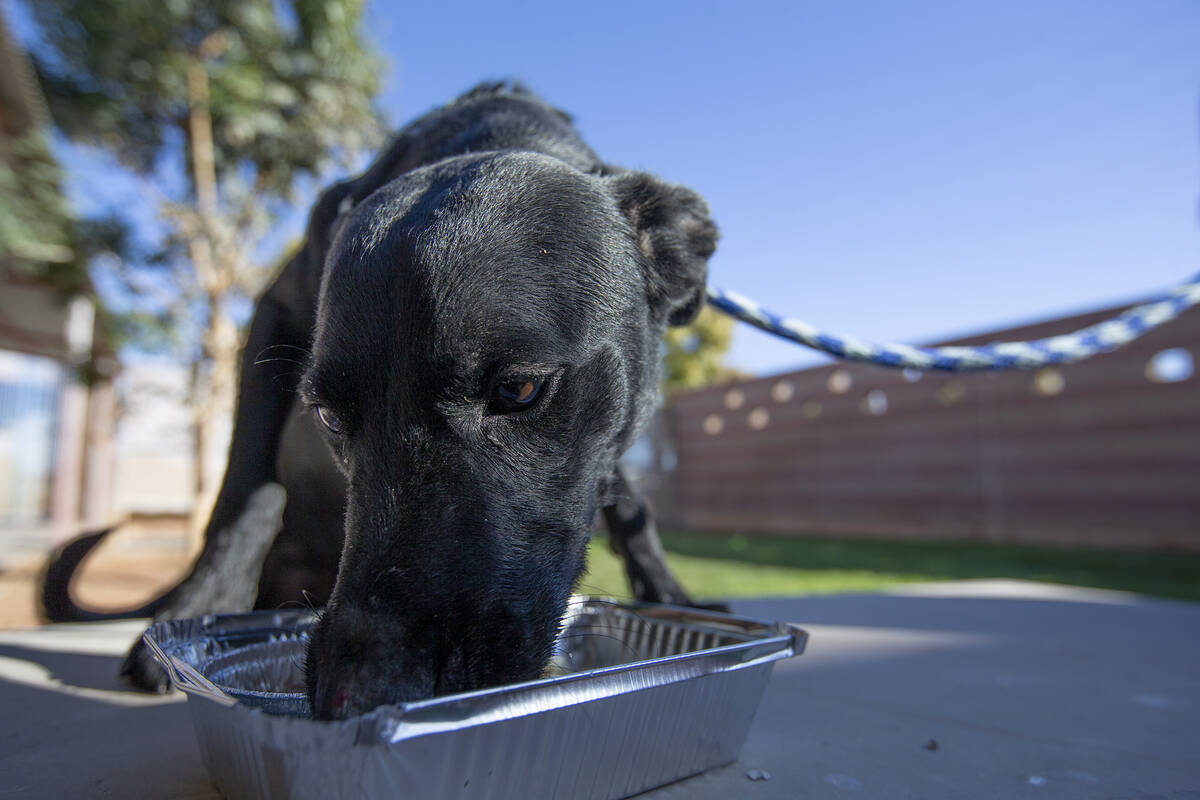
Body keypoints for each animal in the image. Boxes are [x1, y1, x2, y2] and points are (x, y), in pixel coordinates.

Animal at [42, 84, 715, 724]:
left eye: (519, 388)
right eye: (328, 416)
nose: (363, 694)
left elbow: (625, 494)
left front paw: (665, 588)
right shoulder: (273, 312)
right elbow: (244, 489)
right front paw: (200, 603)